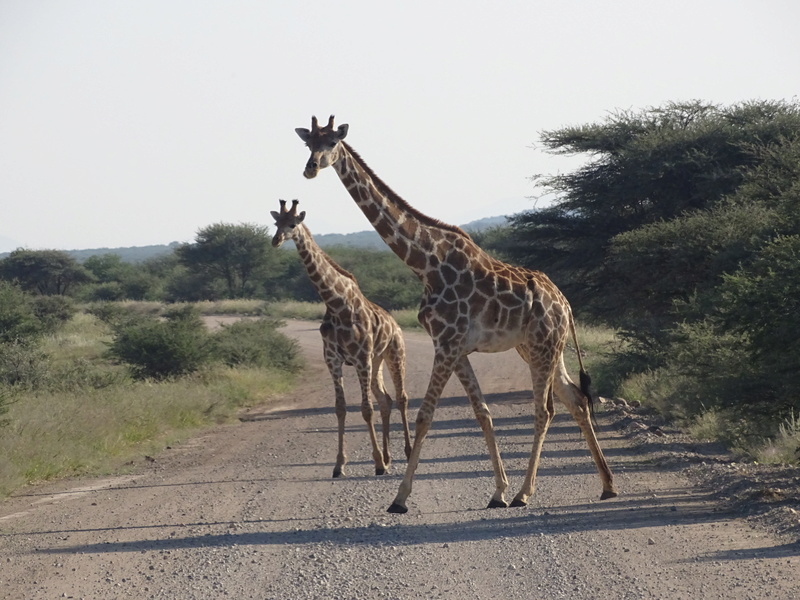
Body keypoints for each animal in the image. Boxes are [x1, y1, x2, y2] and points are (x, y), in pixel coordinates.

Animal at [272, 200, 416, 478]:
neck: (336, 303)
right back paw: (389, 457)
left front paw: (377, 463)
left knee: (402, 398)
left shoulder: (360, 358)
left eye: (292, 224)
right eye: (275, 223)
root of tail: (396, 324)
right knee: (386, 399)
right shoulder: (333, 359)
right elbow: (341, 409)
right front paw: (340, 465)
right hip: (376, 361)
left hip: (395, 354)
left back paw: (406, 453)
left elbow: (366, 409)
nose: (275, 240)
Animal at [296, 116, 620, 510]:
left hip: (544, 345)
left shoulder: (447, 344)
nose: (310, 168)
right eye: (308, 143)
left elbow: (425, 415)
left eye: (331, 142)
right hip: (540, 347)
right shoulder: (457, 348)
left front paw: (400, 498)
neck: (425, 264)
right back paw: (607, 485)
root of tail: (567, 305)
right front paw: (497, 491)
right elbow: (483, 413)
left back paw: (526, 494)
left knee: (545, 410)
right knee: (575, 400)